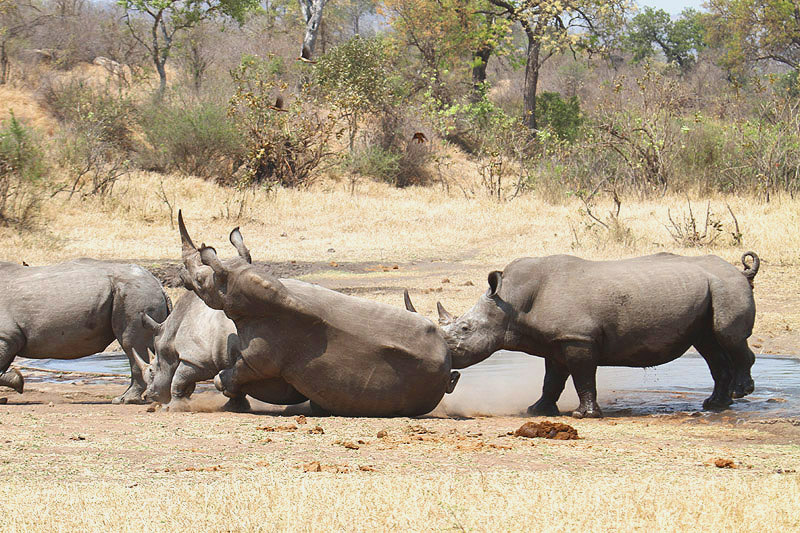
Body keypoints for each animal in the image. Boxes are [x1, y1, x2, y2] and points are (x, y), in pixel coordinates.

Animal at [0, 259, 172, 403]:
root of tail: (158, 285)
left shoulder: (7, 336)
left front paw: (17, 382)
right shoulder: (8, 338)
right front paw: (8, 393)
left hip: (136, 296)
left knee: (132, 344)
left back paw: (123, 400)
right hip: (138, 295)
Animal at [177, 211, 458, 417]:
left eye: (200, 281)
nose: (182, 277)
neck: (238, 283)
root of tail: (448, 371)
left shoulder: (258, 357)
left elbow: (229, 376)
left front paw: (225, 392)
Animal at [423, 252, 759, 418]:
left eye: (465, 329)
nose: (446, 354)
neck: (511, 302)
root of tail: (740, 271)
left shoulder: (578, 338)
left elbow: (583, 377)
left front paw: (583, 415)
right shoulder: (556, 341)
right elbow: (552, 380)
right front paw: (537, 410)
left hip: (726, 286)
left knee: (727, 337)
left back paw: (739, 393)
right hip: (709, 290)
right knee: (709, 345)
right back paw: (715, 405)